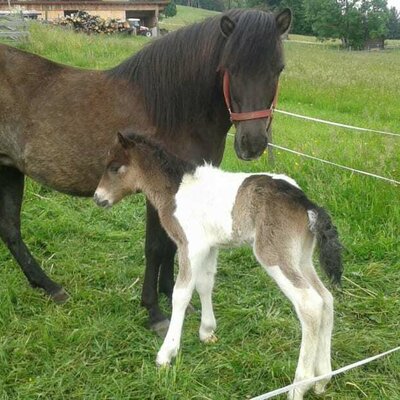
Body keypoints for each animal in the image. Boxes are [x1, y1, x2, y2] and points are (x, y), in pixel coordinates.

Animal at [0, 8, 294, 334]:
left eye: (279, 68)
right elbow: (156, 247)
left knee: (10, 230)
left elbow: (172, 245)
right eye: (229, 67)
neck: (175, 112)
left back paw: (49, 287)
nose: (252, 143)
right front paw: (154, 312)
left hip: (9, 168)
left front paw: (172, 295)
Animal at [94, 132, 344, 400]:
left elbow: (181, 294)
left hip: (274, 256)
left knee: (310, 304)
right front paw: (207, 332)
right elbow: (205, 284)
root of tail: (306, 202)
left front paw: (166, 354)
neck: (176, 190)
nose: (98, 198)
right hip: (301, 258)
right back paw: (322, 379)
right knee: (326, 298)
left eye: (115, 167)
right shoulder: (210, 246)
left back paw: (300, 386)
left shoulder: (191, 245)